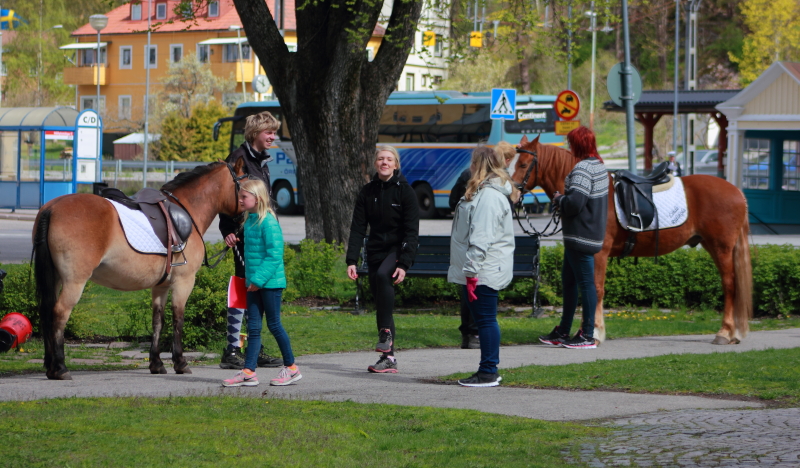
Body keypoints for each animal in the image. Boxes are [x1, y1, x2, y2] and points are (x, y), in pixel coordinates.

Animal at [32, 161, 244, 380]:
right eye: (243, 182)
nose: (240, 220)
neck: (187, 209)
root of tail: (51, 209)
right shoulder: (184, 282)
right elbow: (178, 320)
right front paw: (180, 362)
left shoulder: (161, 287)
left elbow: (158, 321)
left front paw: (157, 363)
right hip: (75, 282)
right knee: (59, 314)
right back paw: (60, 367)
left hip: (56, 278)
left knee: (46, 311)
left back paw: (50, 366)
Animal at [510, 134, 752, 344]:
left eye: (523, 164)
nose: (512, 195)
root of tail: (738, 192)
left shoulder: (599, 254)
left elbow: (595, 289)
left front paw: (594, 332)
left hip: (721, 247)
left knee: (730, 285)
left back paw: (725, 332)